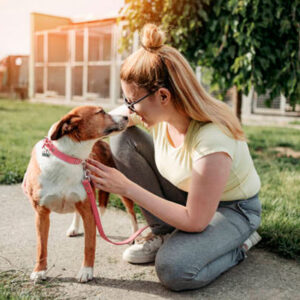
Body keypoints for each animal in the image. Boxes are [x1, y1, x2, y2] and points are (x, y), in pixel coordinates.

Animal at [22, 106, 138, 284]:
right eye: (101, 112)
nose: (127, 116)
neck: (69, 158)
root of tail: (102, 143)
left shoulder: (88, 210)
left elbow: (89, 245)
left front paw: (86, 271)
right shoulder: (41, 213)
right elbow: (41, 246)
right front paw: (39, 271)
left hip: (122, 188)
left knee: (131, 213)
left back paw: (136, 237)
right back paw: (74, 228)